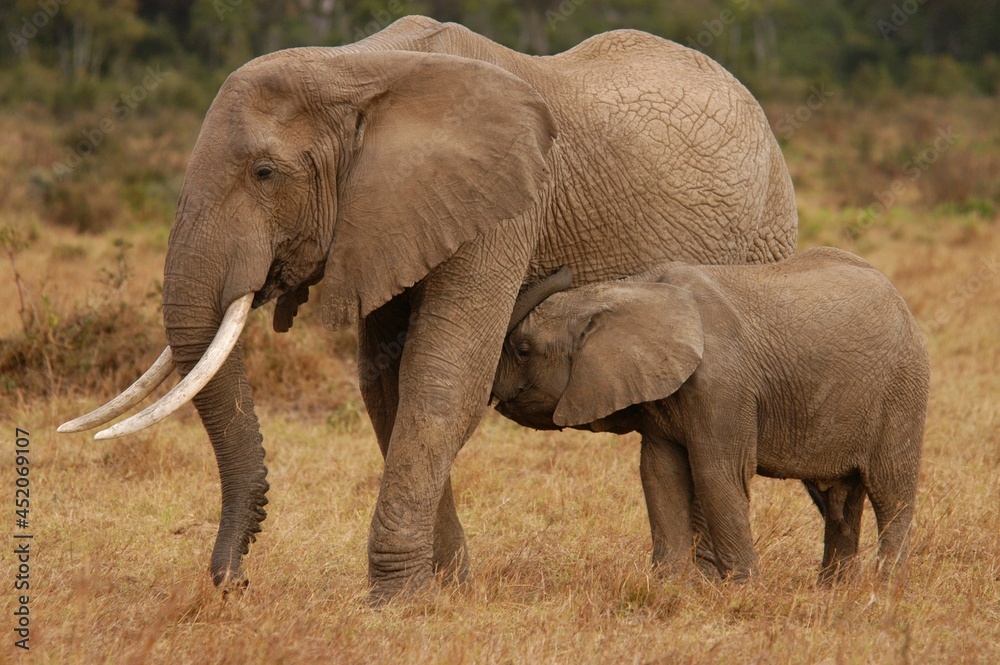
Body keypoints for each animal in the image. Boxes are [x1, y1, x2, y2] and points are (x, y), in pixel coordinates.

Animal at [58, 16, 797, 602]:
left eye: (265, 174)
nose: (234, 583)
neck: (358, 68)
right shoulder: (385, 216)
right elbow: (385, 384)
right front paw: (445, 588)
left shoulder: (505, 201)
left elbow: (442, 377)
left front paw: (394, 599)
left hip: (767, 227)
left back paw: (713, 584)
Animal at [494, 247, 929, 582]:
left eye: (522, 350)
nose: (560, 267)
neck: (631, 288)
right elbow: (660, 475)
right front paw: (667, 588)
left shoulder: (722, 384)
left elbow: (717, 474)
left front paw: (743, 590)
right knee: (840, 501)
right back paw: (835, 591)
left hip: (903, 388)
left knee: (891, 493)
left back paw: (884, 590)